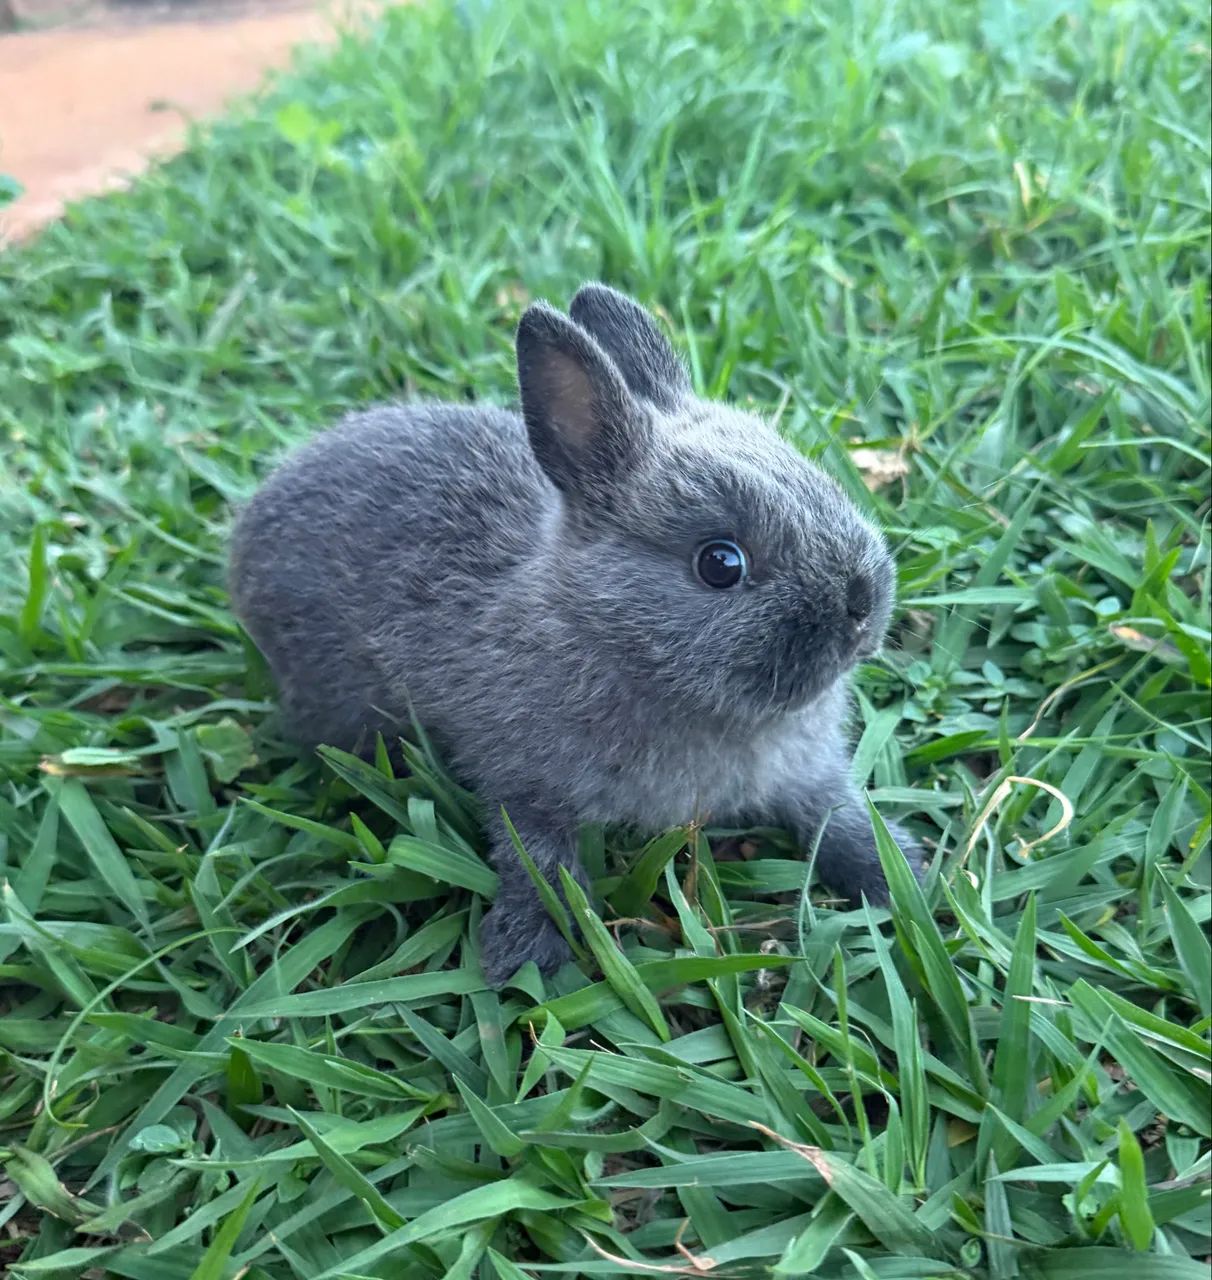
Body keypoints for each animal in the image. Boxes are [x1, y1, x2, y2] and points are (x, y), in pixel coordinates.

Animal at [228, 283, 923, 986]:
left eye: (823, 486)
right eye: (721, 563)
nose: (861, 605)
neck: (612, 635)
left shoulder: (808, 776)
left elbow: (837, 817)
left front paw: (903, 876)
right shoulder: (524, 785)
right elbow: (538, 856)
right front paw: (530, 953)